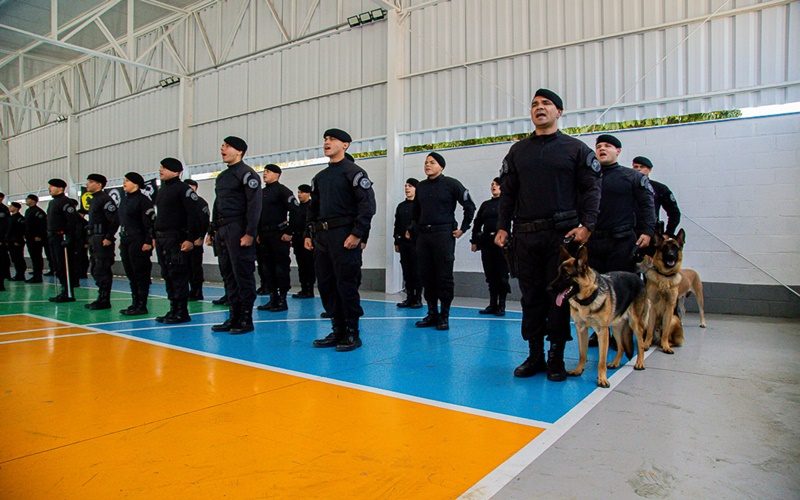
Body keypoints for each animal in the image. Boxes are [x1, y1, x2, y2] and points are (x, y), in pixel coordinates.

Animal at [548, 246, 648, 390]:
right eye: (558, 274)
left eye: (566, 276)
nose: (548, 288)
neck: (586, 301)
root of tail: (636, 276)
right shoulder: (581, 330)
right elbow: (582, 354)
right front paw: (578, 370)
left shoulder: (602, 332)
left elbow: (601, 360)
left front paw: (602, 379)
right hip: (616, 328)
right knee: (621, 346)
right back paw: (615, 362)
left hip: (635, 324)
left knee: (640, 344)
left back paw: (640, 363)